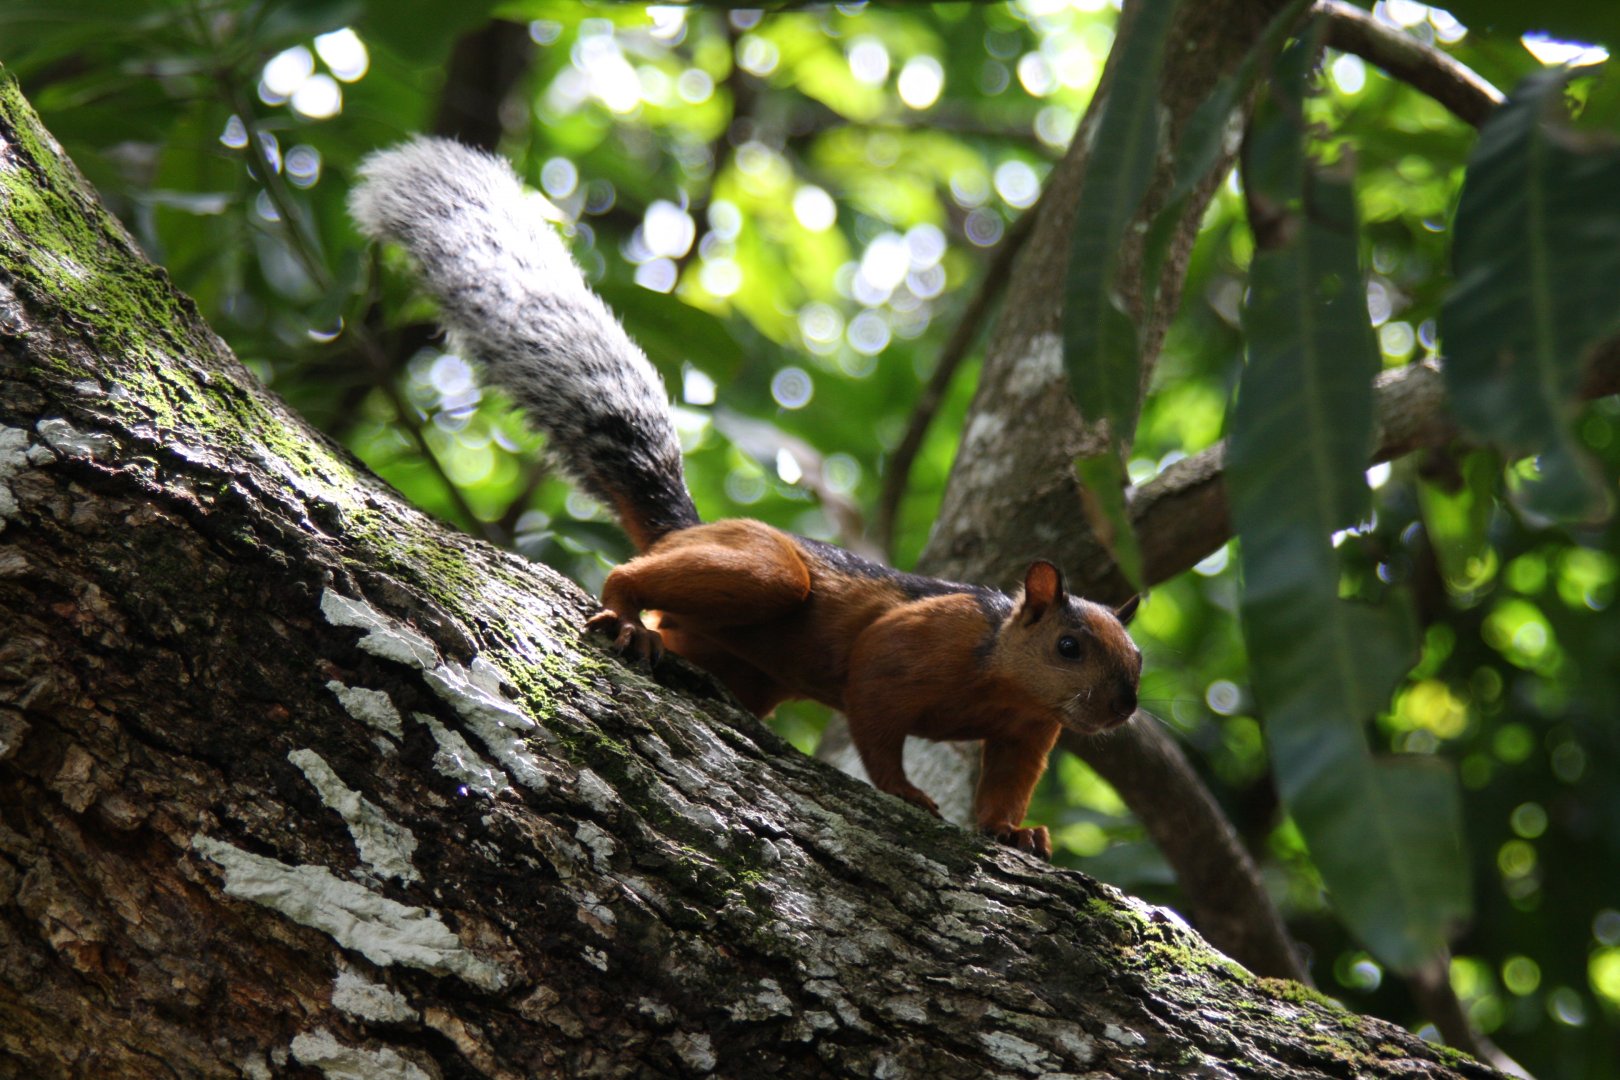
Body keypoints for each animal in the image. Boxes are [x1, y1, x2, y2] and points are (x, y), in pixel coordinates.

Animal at [350, 137, 1142, 859]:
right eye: (1068, 646)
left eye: (1135, 660)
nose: (1121, 709)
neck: (1002, 673)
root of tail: (686, 530)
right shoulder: (911, 645)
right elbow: (876, 713)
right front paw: (905, 793)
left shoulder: (1027, 731)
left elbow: (1006, 783)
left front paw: (1014, 831)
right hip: (762, 568)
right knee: (642, 576)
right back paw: (627, 612)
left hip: (743, 661)